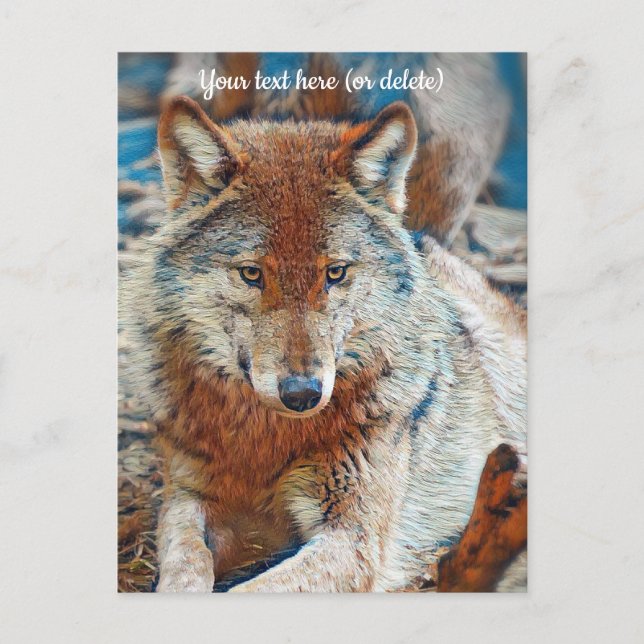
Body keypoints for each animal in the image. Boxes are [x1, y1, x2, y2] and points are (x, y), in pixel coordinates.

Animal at [123, 79, 526, 591]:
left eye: (335, 273)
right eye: (252, 273)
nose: (302, 393)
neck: (266, 440)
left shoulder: (352, 539)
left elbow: (255, 590)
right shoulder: (188, 500)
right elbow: (184, 562)